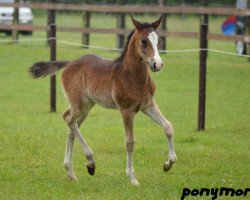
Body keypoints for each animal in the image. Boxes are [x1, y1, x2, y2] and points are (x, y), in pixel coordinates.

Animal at [29, 15, 177, 186]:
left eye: (157, 40)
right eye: (143, 41)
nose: (157, 64)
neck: (132, 75)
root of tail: (69, 63)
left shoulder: (148, 105)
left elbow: (168, 127)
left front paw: (168, 164)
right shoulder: (126, 110)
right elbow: (130, 142)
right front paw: (132, 177)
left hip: (86, 107)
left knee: (72, 126)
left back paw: (72, 172)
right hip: (80, 104)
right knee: (68, 119)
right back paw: (90, 162)